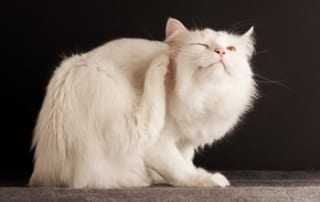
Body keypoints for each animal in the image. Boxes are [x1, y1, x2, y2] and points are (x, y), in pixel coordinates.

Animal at [30, 18, 258, 189]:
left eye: (231, 48)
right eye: (202, 46)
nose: (220, 52)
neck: (205, 95)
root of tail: (45, 174)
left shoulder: (185, 141)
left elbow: (184, 159)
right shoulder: (158, 144)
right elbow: (180, 168)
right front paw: (205, 178)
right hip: (99, 78)